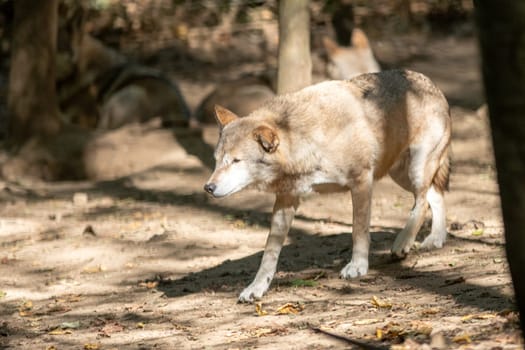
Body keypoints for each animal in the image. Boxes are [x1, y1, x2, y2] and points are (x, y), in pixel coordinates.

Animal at [205, 69, 450, 302]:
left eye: (236, 161)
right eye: (217, 160)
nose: (208, 187)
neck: (308, 140)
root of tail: (431, 84)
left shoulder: (361, 180)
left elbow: (358, 230)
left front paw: (358, 266)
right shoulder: (286, 199)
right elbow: (269, 252)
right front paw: (256, 288)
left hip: (414, 170)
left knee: (421, 203)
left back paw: (403, 243)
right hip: (399, 174)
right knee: (435, 195)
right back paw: (435, 239)